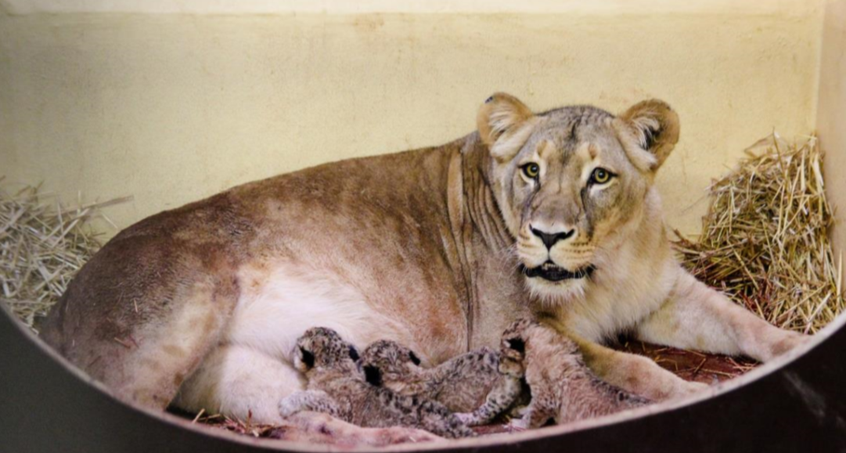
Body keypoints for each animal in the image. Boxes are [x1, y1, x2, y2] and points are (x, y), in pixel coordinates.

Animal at [39, 93, 808, 426]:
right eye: (530, 170)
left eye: (599, 176)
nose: (548, 235)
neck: (605, 265)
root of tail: (59, 298)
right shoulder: (510, 330)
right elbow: (633, 366)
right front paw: (687, 392)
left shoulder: (667, 293)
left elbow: (745, 324)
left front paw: (800, 347)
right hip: (170, 322)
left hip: (244, 373)